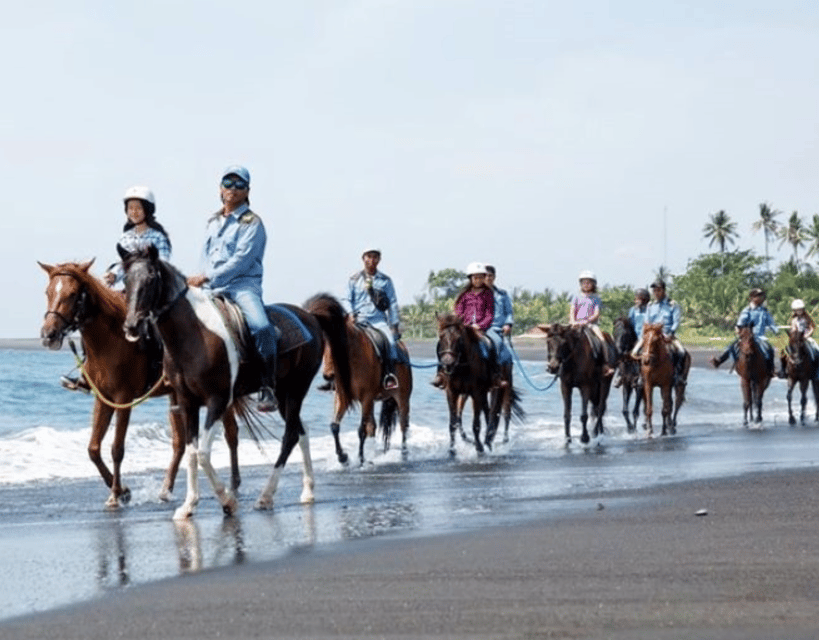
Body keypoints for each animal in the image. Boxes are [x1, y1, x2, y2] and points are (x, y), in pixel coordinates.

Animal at [38, 258, 239, 508]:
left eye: (73, 294)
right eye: (48, 292)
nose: (48, 335)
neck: (111, 340)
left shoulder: (124, 399)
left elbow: (117, 448)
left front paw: (116, 494)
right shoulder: (103, 399)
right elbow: (93, 448)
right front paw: (122, 490)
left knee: (231, 433)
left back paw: (233, 486)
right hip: (177, 396)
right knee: (179, 443)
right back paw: (166, 490)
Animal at [121, 245, 352, 520]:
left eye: (150, 279)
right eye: (125, 281)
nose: (132, 326)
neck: (194, 335)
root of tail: (310, 316)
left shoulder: (218, 401)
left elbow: (203, 454)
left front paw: (227, 501)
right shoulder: (188, 403)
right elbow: (191, 453)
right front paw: (188, 506)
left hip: (297, 389)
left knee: (289, 436)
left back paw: (265, 496)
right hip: (283, 394)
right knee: (300, 431)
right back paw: (307, 490)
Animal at [306, 292, 414, 462]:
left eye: (339, 343)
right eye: (322, 343)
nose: (329, 375)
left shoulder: (366, 398)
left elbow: (361, 430)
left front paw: (361, 459)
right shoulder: (342, 396)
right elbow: (334, 426)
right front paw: (343, 457)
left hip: (402, 398)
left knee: (403, 424)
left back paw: (403, 453)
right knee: (373, 426)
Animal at [432, 314, 516, 456]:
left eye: (459, 338)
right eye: (441, 336)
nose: (447, 363)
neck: (462, 366)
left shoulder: (476, 393)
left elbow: (476, 424)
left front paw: (479, 448)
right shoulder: (452, 392)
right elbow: (452, 423)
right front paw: (452, 450)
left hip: (503, 387)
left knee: (503, 413)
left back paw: (498, 440)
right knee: (488, 412)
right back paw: (488, 440)